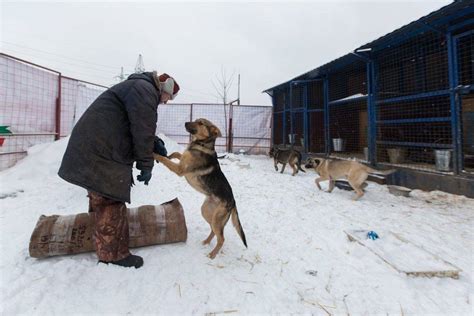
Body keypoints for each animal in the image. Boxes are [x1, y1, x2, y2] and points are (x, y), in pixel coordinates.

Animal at [154, 118, 248, 260]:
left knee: (221, 238)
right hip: (207, 212)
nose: (185, 123)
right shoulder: (182, 161)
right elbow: (176, 154)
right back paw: (206, 242)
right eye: (196, 120)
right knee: (214, 231)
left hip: (216, 219)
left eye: (201, 123)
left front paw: (154, 154)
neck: (202, 144)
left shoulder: (180, 169)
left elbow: (164, 160)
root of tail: (233, 202)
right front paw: (168, 154)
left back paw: (212, 254)